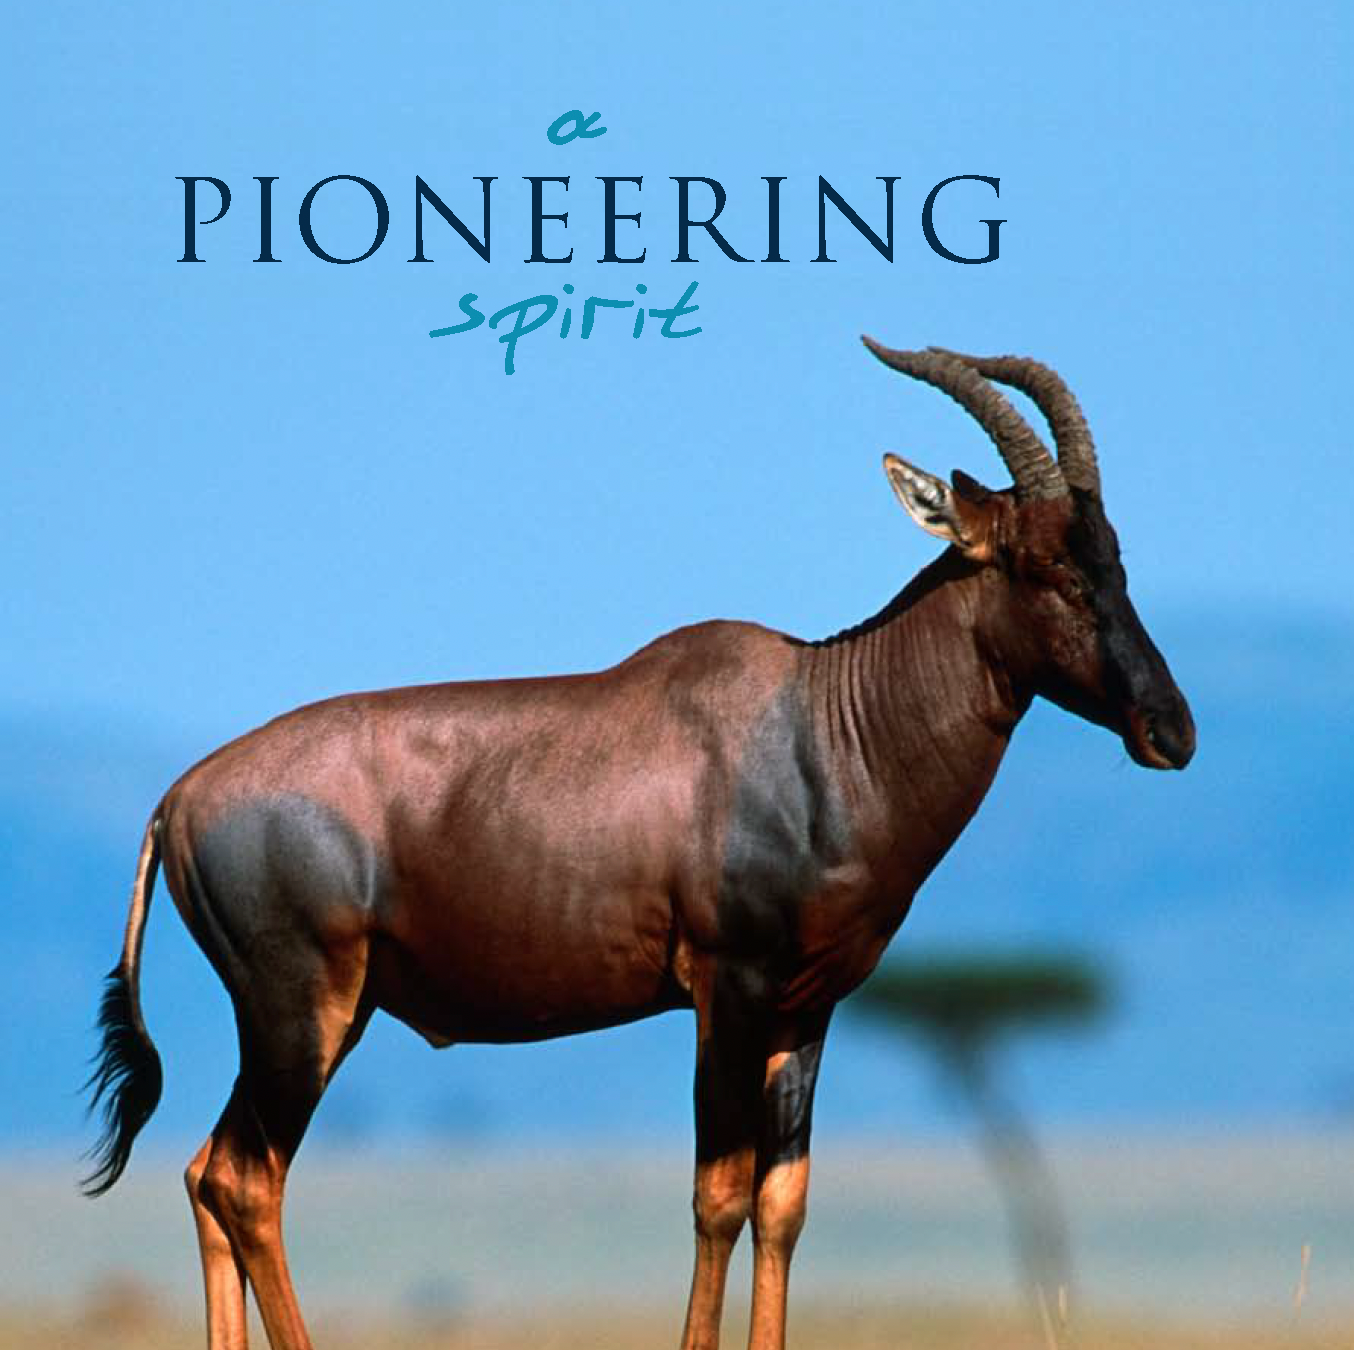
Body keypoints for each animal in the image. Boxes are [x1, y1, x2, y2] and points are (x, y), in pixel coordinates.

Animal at [85, 341, 1194, 1350]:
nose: (1170, 733)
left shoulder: (809, 1007)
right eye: (1044, 565)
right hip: (297, 1009)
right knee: (247, 1180)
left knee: (208, 1172)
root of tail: (178, 799)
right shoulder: (727, 989)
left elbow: (781, 1205)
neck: (816, 723)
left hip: (328, 1015)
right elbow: (717, 1196)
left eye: (1115, 556)